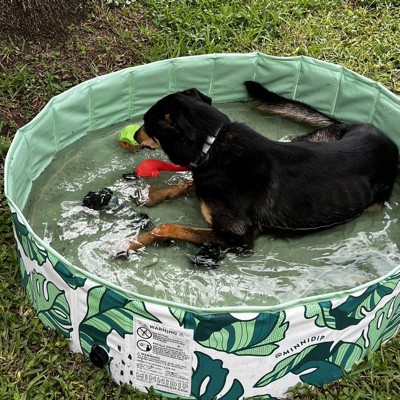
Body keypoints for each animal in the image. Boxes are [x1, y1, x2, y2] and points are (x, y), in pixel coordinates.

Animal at [126, 82, 398, 256]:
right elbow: (188, 183)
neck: (212, 144)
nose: (136, 135)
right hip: (311, 138)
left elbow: (167, 227)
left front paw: (130, 244)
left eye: (147, 123)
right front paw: (153, 195)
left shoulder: (238, 239)